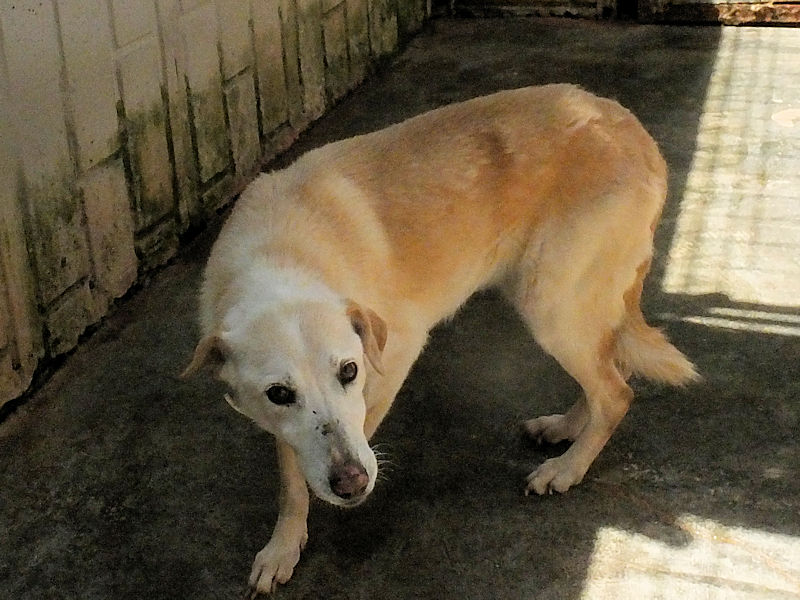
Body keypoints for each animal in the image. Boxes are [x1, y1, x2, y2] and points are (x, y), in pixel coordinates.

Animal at [183, 84, 698, 595]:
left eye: (349, 371)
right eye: (278, 394)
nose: (352, 484)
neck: (278, 257)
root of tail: (633, 130)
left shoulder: (395, 354)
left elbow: (357, 428)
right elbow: (291, 475)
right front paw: (284, 545)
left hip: (551, 306)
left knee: (616, 392)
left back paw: (567, 468)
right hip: (563, 303)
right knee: (610, 368)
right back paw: (566, 427)